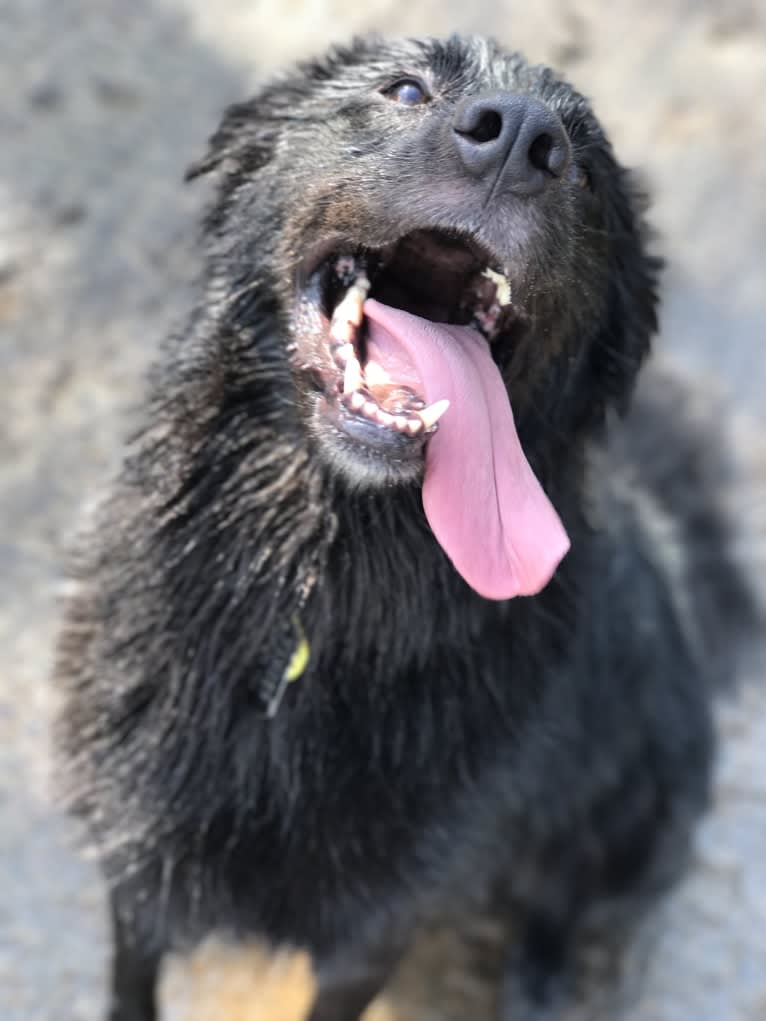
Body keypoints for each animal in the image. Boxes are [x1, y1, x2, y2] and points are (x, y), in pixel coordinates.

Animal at [55, 31, 763, 1021]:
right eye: (404, 90)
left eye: (585, 170)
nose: (522, 136)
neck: (307, 602)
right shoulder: (137, 851)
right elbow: (130, 982)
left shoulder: (375, 928)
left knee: (568, 910)